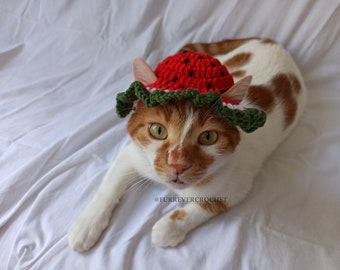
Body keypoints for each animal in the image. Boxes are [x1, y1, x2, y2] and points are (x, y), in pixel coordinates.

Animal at [67, 37, 306, 251]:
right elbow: (109, 186)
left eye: (208, 137)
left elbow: (208, 205)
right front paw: (86, 225)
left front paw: (168, 228)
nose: (178, 165)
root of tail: (270, 41)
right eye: (158, 131)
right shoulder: (133, 154)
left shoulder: (237, 185)